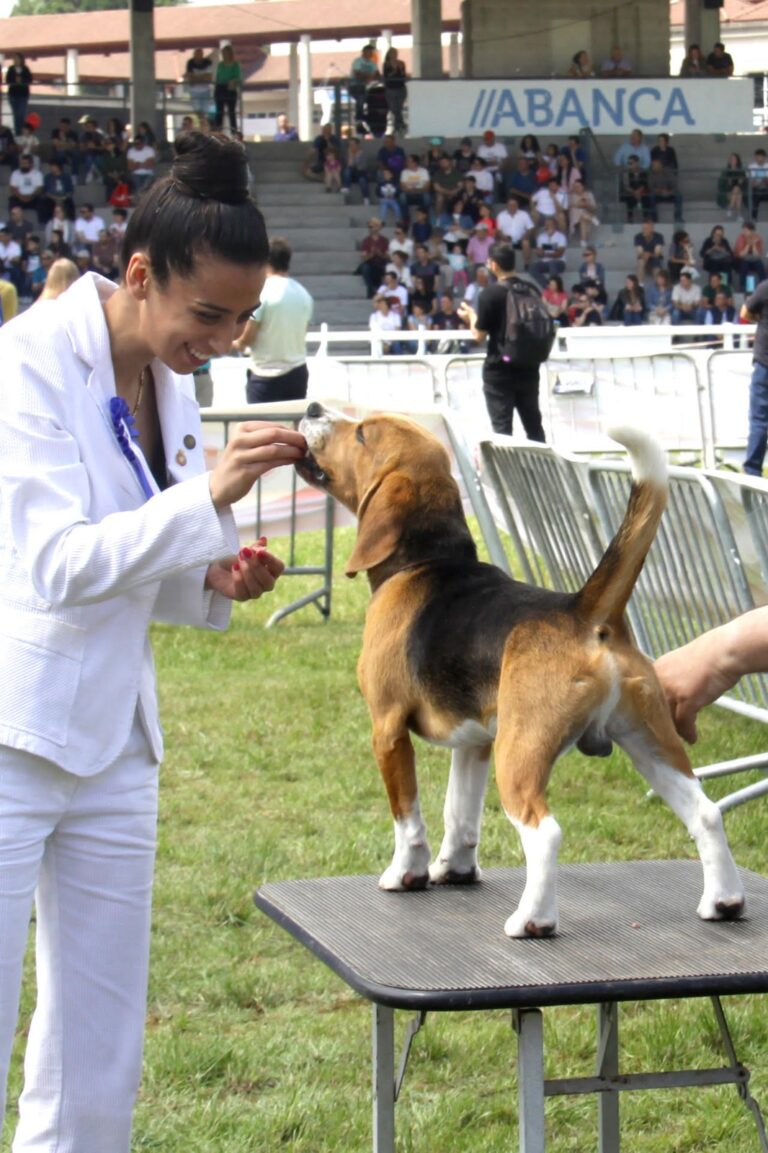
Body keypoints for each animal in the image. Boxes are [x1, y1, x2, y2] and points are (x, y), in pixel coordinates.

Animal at [295, 405, 742, 936]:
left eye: (362, 432)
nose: (312, 409)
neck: (425, 559)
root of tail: (583, 612)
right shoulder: (474, 742)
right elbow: (459, 814)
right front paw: (454, 869)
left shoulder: (387, 729)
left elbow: (408, 817)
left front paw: (406, 873)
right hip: (649, 741)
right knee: (706, 813)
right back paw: (724, 902)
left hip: (520, 753)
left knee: (544, 831)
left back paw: (532, 920)